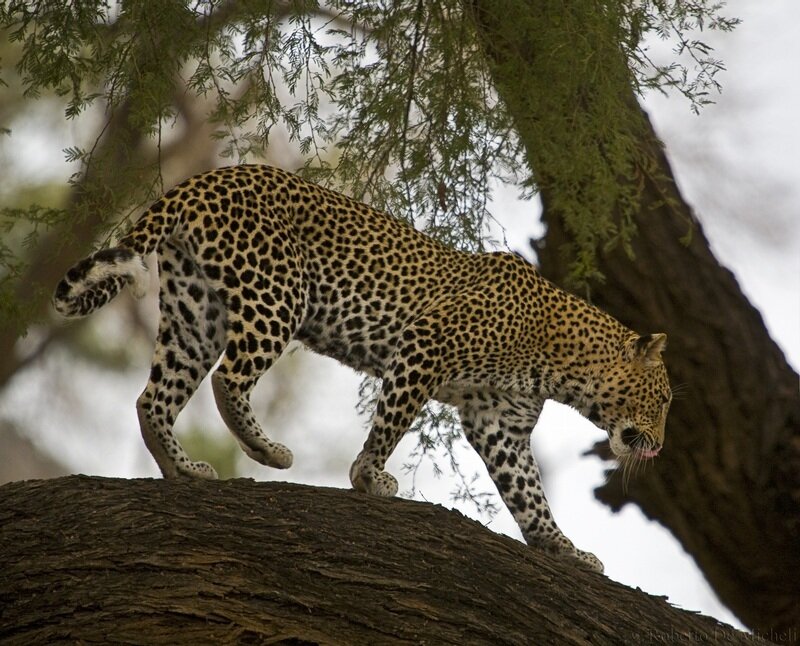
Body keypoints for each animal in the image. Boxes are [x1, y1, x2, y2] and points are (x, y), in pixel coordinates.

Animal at [53, 164, 672, 573]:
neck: (563, 362)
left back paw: (182, 469)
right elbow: (392, 420)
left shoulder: (500, 425)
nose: (661, 446)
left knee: (154, 398)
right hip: (278, 295)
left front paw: (565, 549)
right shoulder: (426, 345)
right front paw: (370, 477)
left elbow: (529, 495)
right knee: (229, 380)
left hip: (194, 315)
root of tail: (204, 177)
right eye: (665, 400)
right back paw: (267, 451)